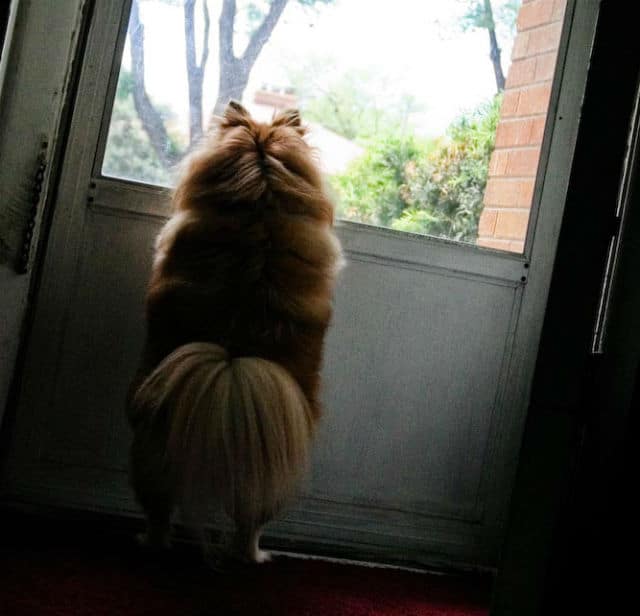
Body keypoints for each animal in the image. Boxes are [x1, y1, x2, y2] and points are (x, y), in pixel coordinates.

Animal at [127, 101, 342, 564]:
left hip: (150, 451)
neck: (259, 208)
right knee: (247, 519)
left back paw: (158, 543)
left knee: (164, 511)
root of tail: (233, 361)